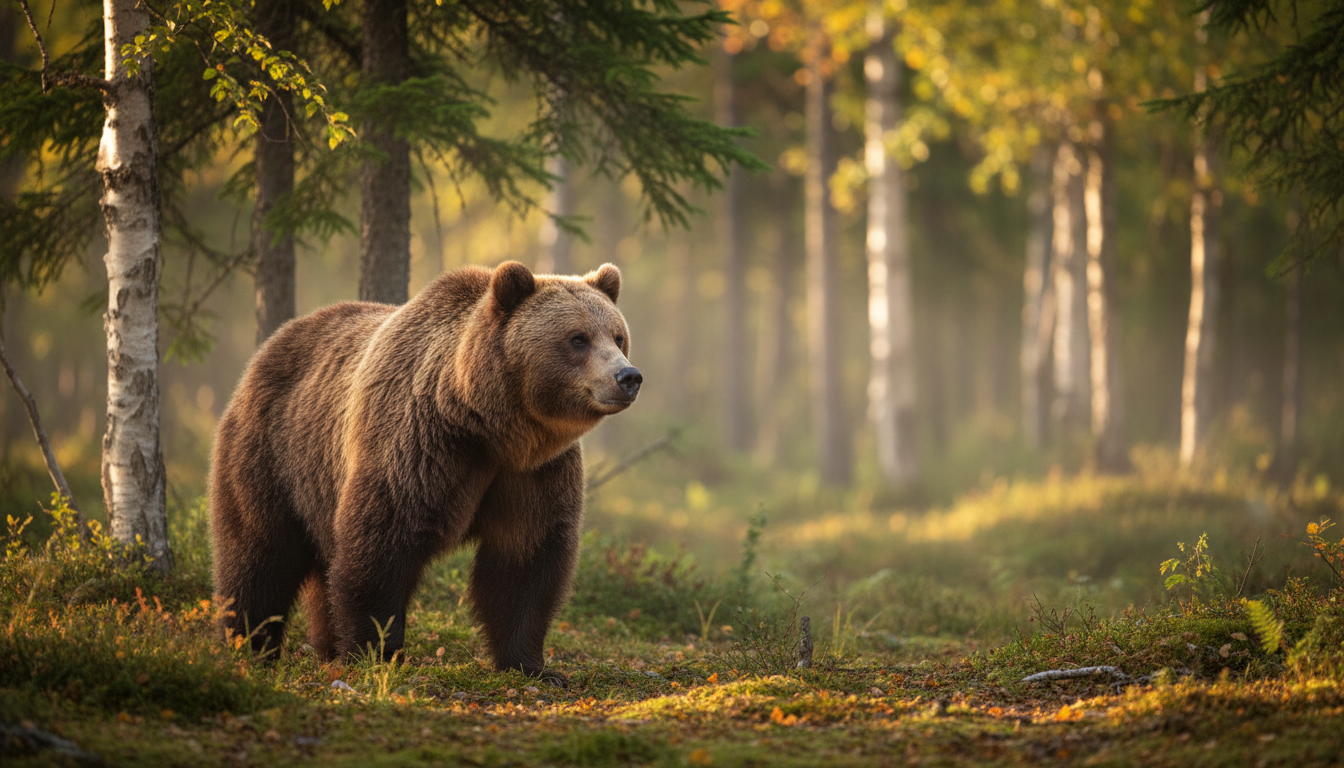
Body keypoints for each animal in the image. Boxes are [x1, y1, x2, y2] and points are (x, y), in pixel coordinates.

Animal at [208, 260, 640, 680]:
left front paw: (533, 665)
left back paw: (324, 645)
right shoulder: (419, 446)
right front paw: (377, 654)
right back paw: (250, 644)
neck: (489, 425)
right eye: (578, 338)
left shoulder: (534, 471)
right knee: (259, 552)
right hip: (273, 452)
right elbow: (381, 544)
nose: (628, 376)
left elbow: (526, 558)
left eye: (617, 336)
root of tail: (273, 343)